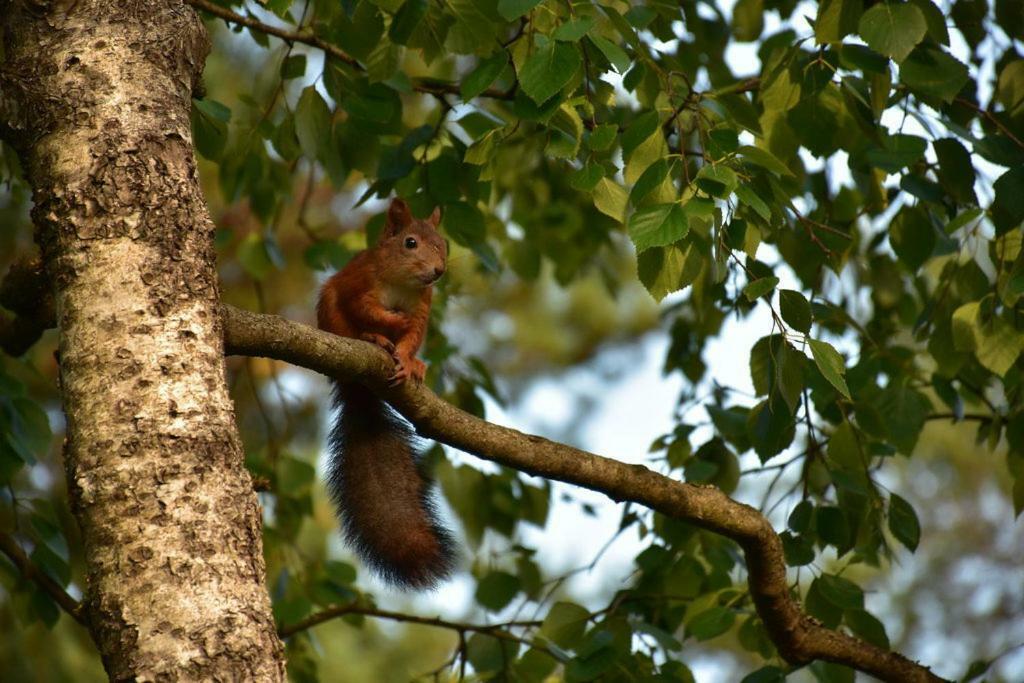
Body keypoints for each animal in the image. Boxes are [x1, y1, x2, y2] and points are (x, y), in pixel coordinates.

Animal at [315, 197, 452, 589]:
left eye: (444, 244)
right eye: (410, 242)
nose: (438, 271)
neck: (401, 282)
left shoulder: (424, 304)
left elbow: (412, 336)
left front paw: (409, 360)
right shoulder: (358, 283)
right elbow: (365, 308)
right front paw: (388, 325)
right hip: (330, 312)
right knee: (352, 327)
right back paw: (372, 339)